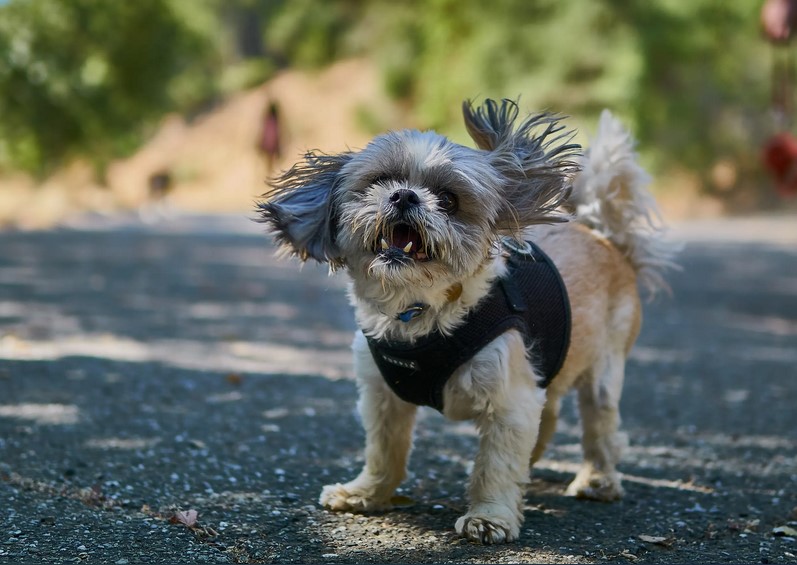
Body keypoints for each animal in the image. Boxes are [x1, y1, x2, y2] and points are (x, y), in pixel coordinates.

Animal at [258, 99, 676, 544]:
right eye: (382, 181)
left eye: (448, 199)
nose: (404, 195)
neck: (421, 312)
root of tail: (604, 238)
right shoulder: (382, 397)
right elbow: (384, 451)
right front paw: (366, 494)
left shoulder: (510, 400)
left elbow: (496, 465)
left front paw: (489, 517)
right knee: (550, 416)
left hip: (603, 372)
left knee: (600, 429)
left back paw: (598, 480)